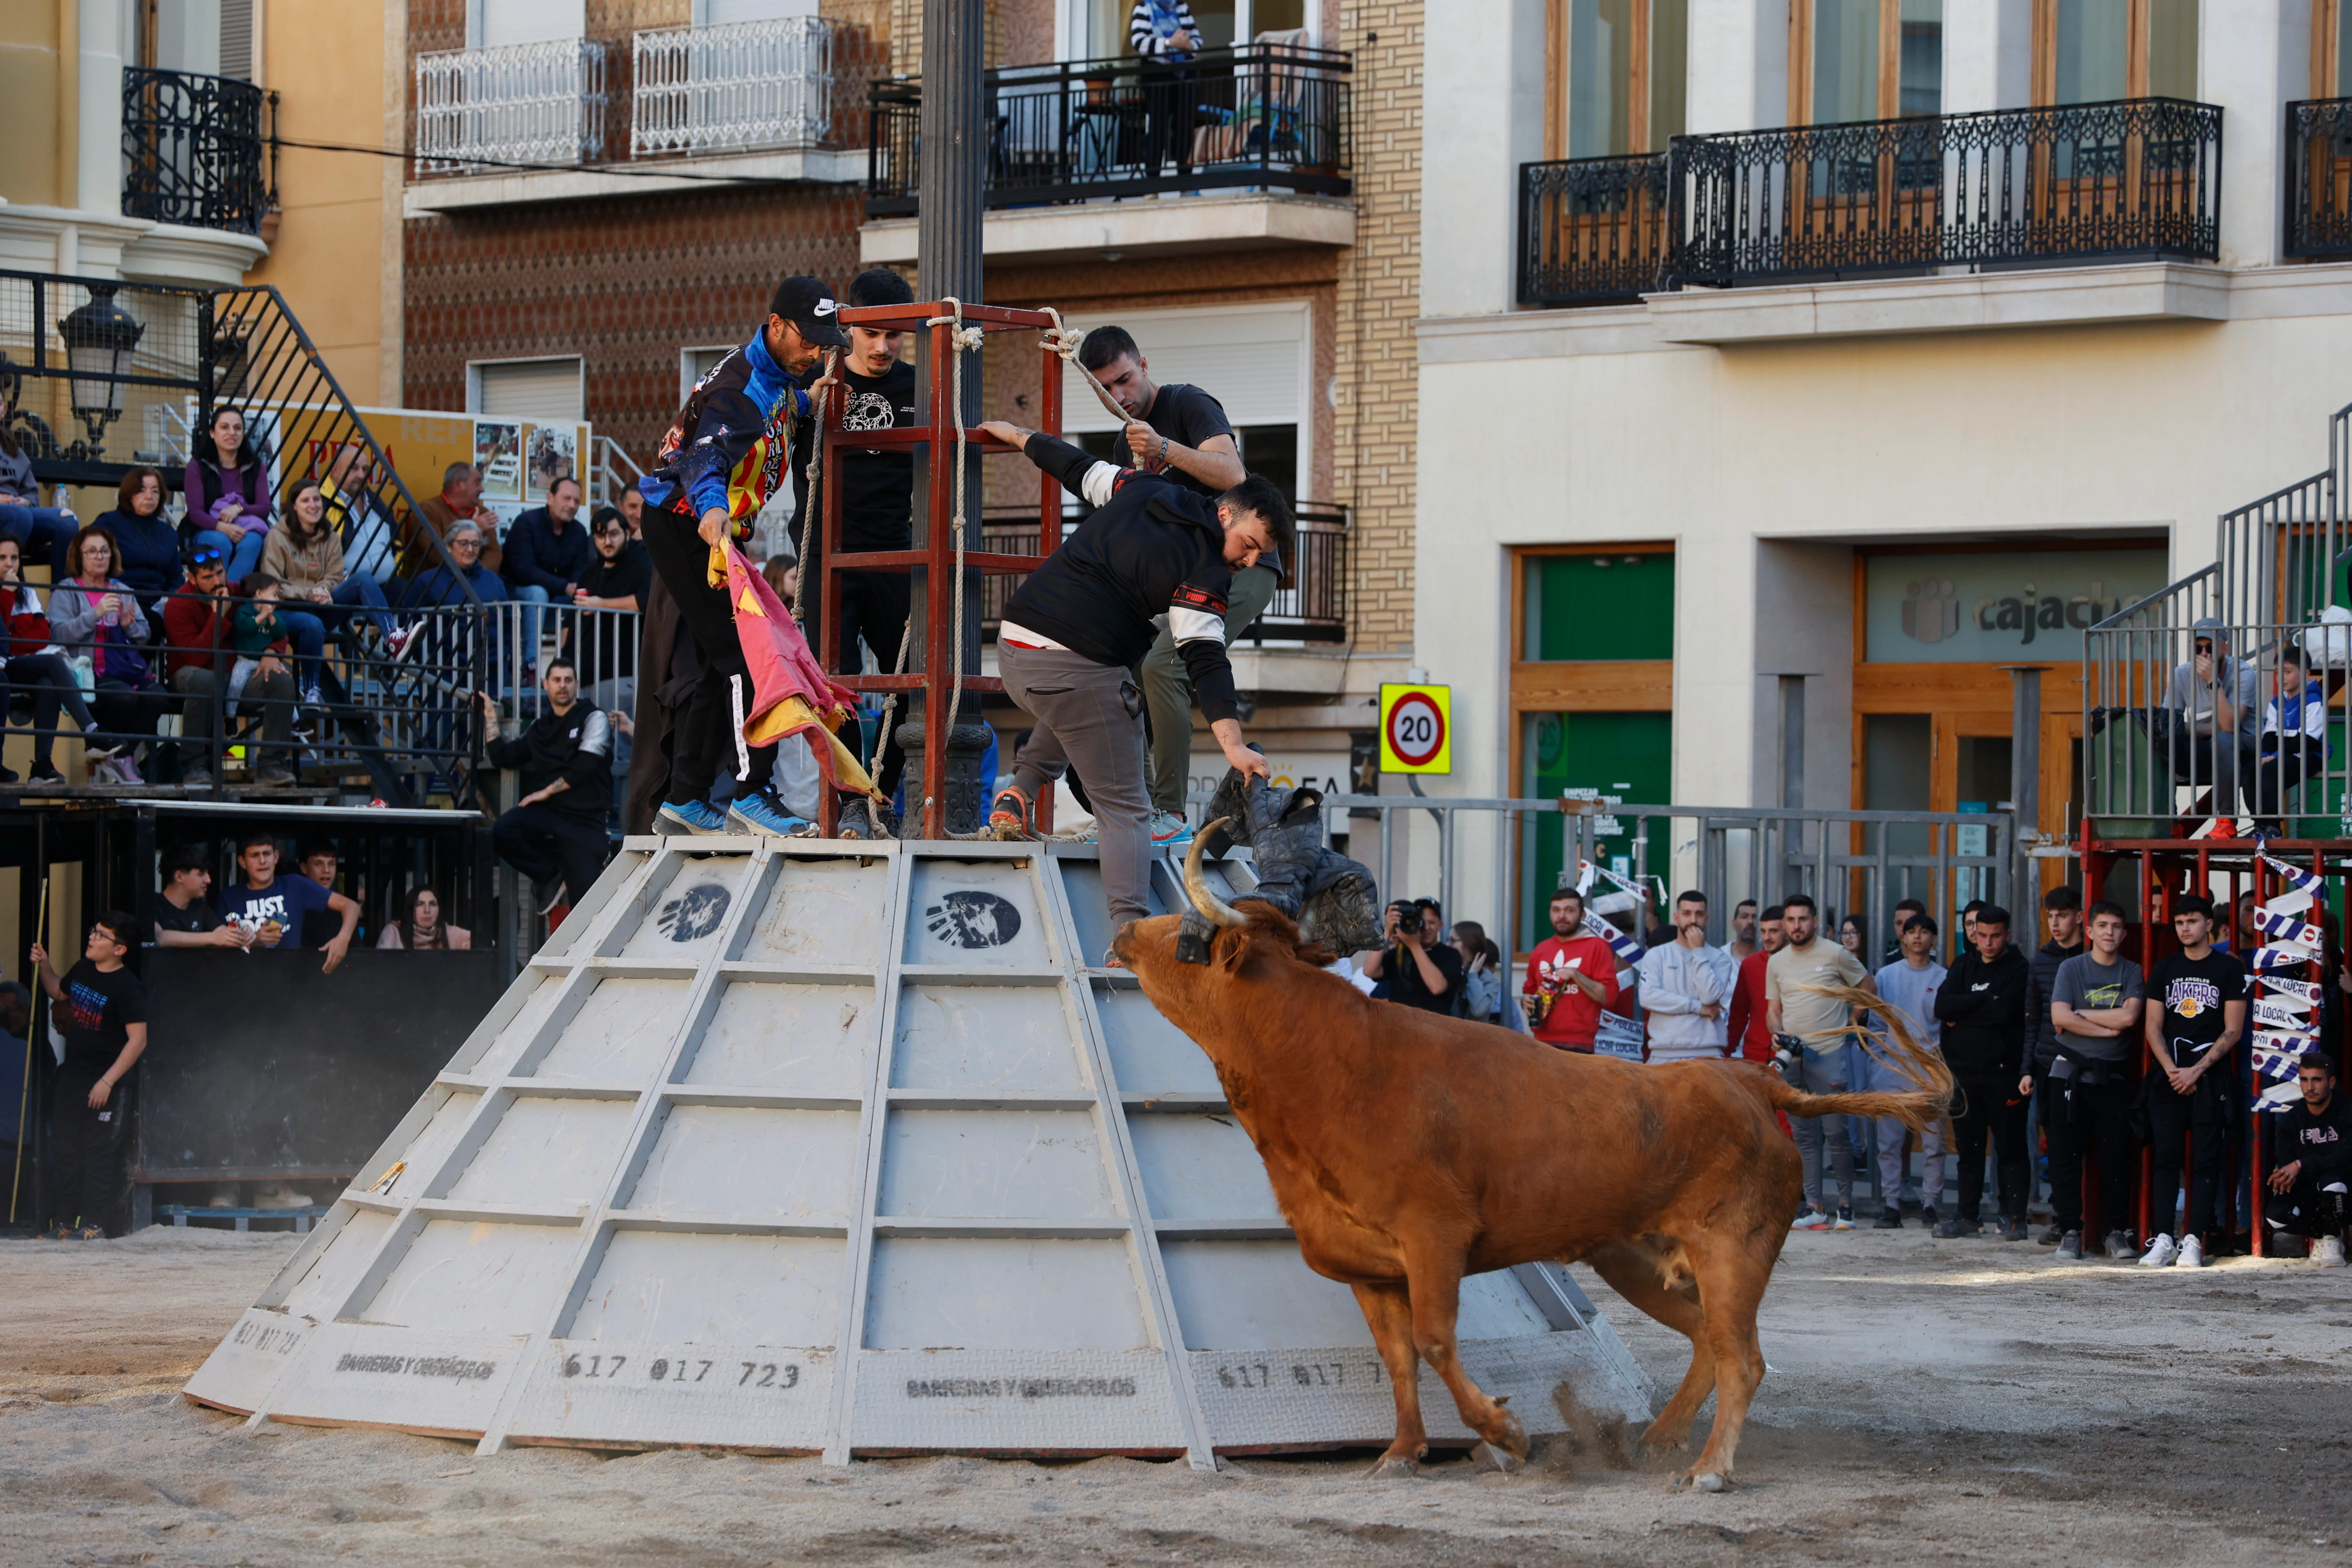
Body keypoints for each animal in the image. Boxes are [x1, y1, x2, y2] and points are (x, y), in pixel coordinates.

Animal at [1110, 832, 1957, 1486]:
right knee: (1708, 1341)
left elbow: (1434, 1340)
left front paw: (1504, 1432)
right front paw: (1402, 1452)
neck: (1327, 1064)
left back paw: (1709, 1468)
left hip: (1733, 1250)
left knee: (1743, 1356)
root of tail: (1750, 1078)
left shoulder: (1435, 1238)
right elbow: (1397, 1359)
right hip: (1637, 1257)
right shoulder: (1369, 1267)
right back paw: (1657, 1440)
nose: (1124, 933)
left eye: (1188, 938)